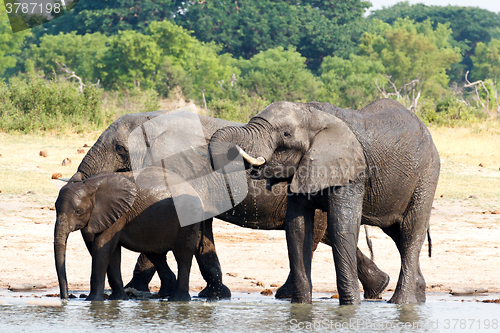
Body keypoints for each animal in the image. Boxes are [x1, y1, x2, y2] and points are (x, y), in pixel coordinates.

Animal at [55, 169, 201, 300]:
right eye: (55, 207)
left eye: (78, 211)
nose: (66, 298)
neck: (91, 184)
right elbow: (112, 251)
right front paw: (118, 299)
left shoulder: (118, 214)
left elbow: (101, 246)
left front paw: (93, 301)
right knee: (156, 255)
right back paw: (166, 294)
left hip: (188, 216)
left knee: (183, 256)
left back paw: (178, 299)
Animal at [70, 108, 390, 298]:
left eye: (119, 149)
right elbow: (199, 231)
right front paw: (214, 295)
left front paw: (139, 292)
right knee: (329, 236)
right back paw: (380, 287)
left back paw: (286, 294)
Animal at [209, 98, 440, 304]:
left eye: (285, 134)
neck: (312, 114)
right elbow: (298, 229)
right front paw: (301, 306)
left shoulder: (351, 172)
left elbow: (341, 228)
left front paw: (350, 307)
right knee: (398, 233)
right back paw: (418, 298)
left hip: (427, 176)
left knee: (410, 232)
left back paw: (401, 302)